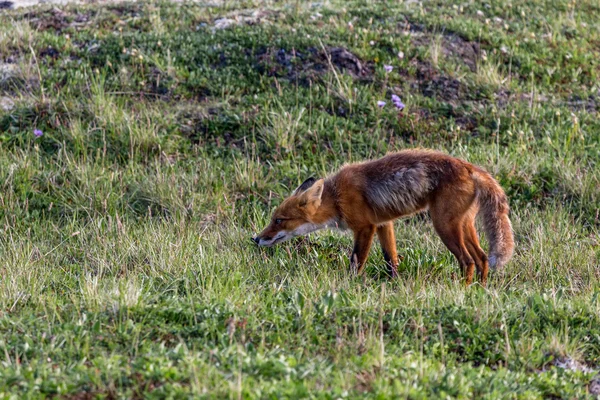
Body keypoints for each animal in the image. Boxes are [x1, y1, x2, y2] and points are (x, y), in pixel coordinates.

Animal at [253, 149, 516, 284]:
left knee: (468, 261)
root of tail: (469, 167)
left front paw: (350, 285)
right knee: (482, 258)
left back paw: (463, 288)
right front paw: (394, 283)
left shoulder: (365, 227)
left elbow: (356, 260)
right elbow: (391, 259)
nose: (255, 239)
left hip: (444, 226)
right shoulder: (383, 224)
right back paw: (480, 288)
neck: (337, 197)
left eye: (279, 220)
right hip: (464, 225)